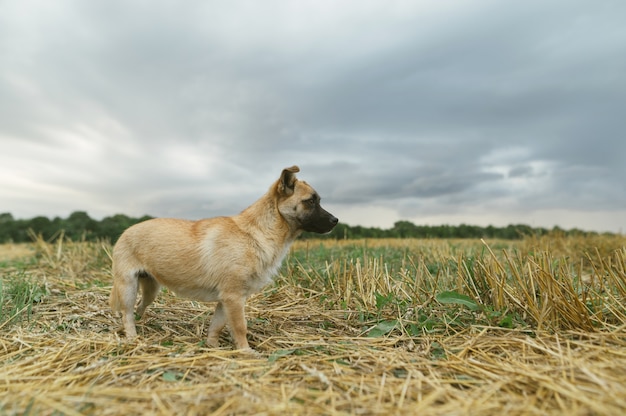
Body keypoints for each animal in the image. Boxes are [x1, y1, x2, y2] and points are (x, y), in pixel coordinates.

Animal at [112, 166, 336, 352]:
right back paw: (132, 337)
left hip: (151, 289)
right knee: (127, 314)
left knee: (139, 308)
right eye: (310, 201)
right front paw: (245, 352)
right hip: (128, 287)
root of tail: (125, 232)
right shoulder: (233, 297)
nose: (336, 220)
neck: (257, 234)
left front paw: (213, 347)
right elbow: (240, 327)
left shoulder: (225, 300)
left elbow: (216, 327)